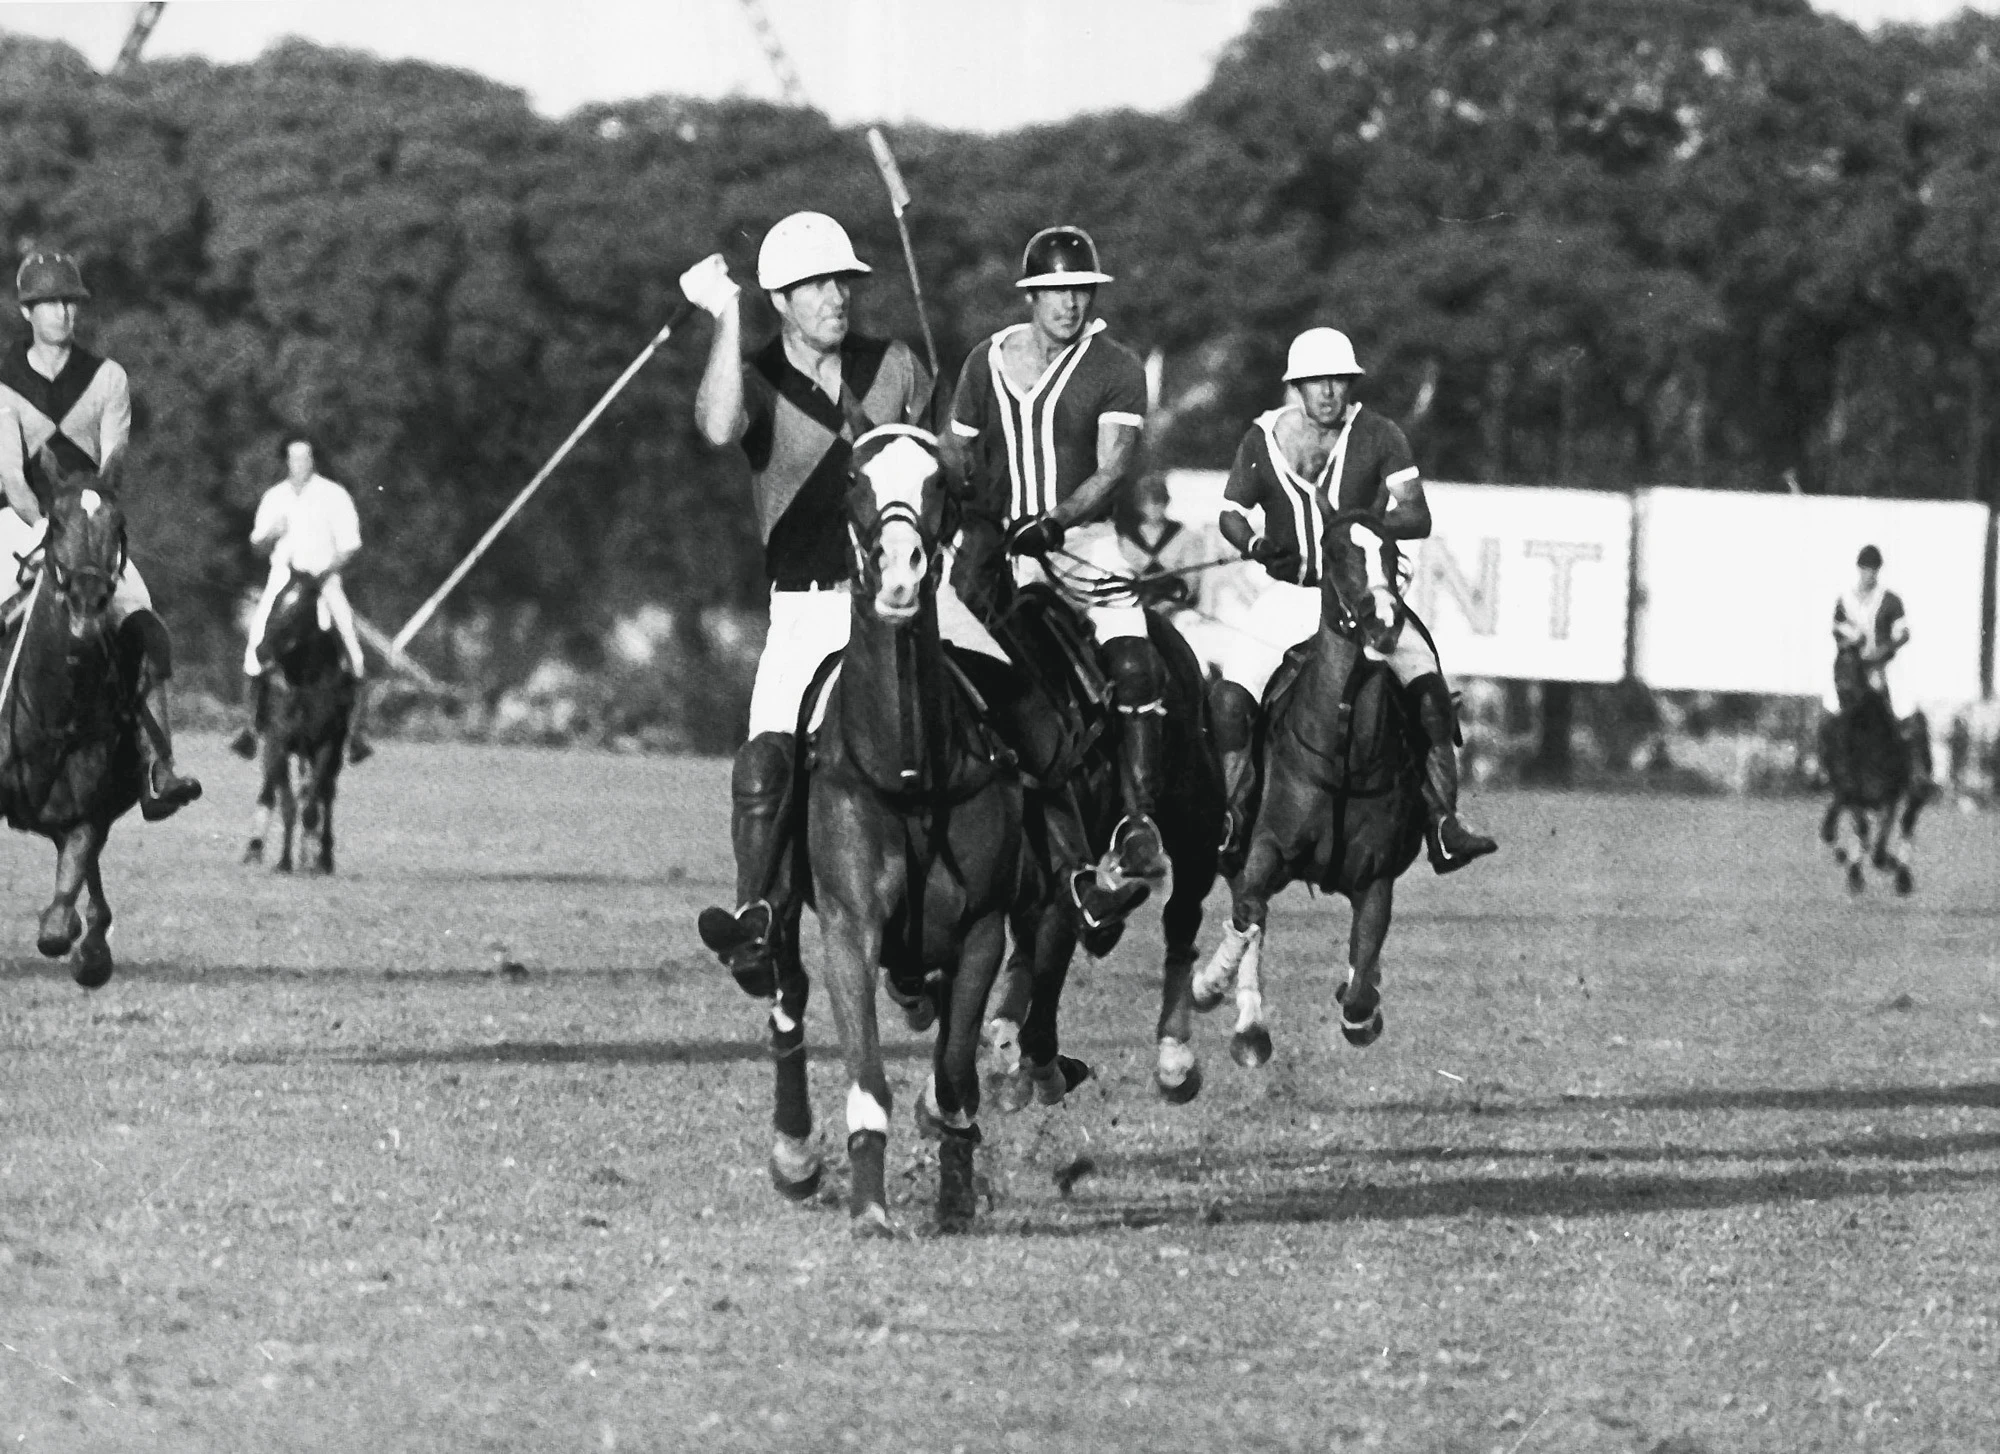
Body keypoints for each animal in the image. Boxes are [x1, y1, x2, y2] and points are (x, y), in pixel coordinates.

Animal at [0, 456, 146, 988]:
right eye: (56, 523)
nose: (87, 598)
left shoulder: (86, 810)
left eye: (119, 524)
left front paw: (87, 950)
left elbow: (63, 911)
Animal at [768, 424, 1024, 1240]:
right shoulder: (849, 924)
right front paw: (871, 1207)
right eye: (854, 479)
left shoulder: (982, 927)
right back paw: (794, 1156)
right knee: (782, 991)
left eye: (941, 480)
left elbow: (953, 1072)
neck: (909, 770)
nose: (902, 573)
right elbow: (867, 1075)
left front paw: (955, 1192)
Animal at [1184, 512, 1440, 1072]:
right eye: (1336, 552)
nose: (1383, 622)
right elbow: (1247, 917)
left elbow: (1363, 969)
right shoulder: (1265, 850)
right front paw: (1208, 987)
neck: (1344, 755)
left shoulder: (1377, 876)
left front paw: (1363, 1010)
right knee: (1248, 916)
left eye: (1392, 553)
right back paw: (1247, 1027)